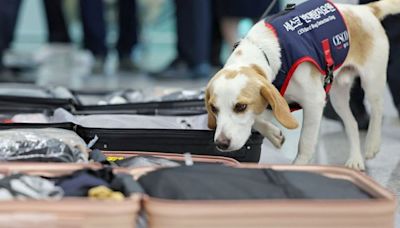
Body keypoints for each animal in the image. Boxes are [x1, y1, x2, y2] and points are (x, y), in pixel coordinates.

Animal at [206, 0, 400, 169]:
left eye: (241, 107)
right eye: (214, 109)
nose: (221, 143)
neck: (262, 51)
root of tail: (364, 10)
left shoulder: (314, 101)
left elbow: (305, 142)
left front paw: (299, 166)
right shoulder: (273, 100)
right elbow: (257, 119)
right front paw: (273, 134)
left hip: (372, 80)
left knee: (377, 109)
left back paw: (372, 145)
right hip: (337, 96)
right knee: (352, 123)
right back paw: (355, 160)